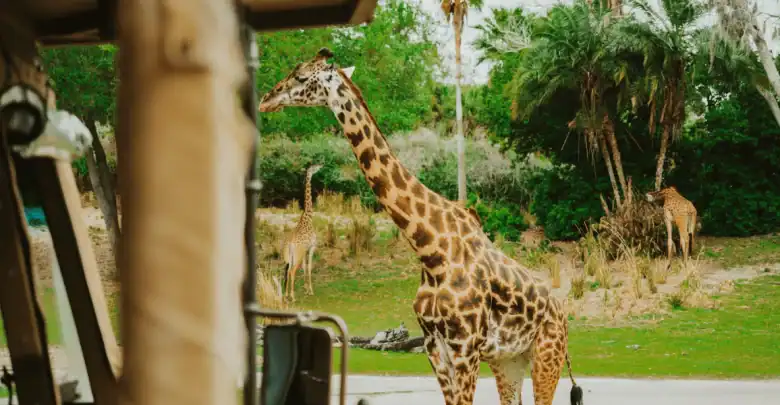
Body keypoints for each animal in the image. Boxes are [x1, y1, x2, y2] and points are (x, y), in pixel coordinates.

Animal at [281, 163, 323, 301]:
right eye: (314, 167)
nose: (321, 165)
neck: (308, 217)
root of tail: (289, 244)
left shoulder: (306, 250)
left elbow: (305, 267)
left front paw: (306, 289)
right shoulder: (312, 247)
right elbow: (309, 267)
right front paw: (311, 291)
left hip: (289, 256)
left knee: (288, 270)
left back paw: (286, 295)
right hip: (297, 255)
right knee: (293, 271)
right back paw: (292, 297)